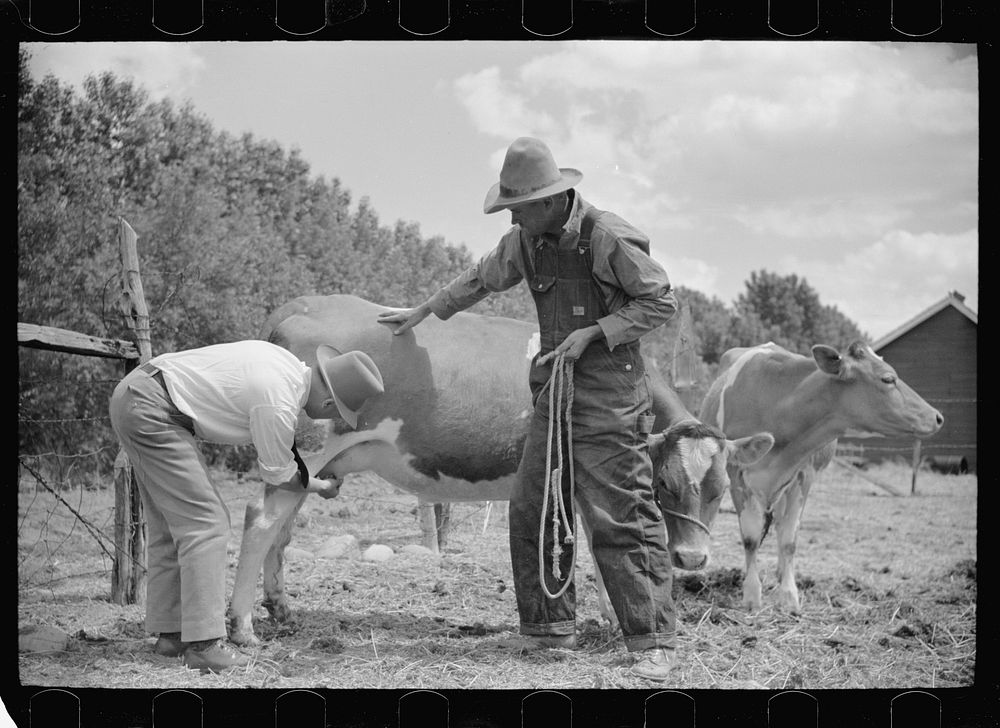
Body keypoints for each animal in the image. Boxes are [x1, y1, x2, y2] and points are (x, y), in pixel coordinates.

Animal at [227, 292, 772, 644]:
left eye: (720, 488)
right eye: (662, 482)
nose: (694, 558)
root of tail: (302, 304)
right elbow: (599, 549)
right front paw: (611, 621)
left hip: (307, 462)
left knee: (282, 528)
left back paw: (281, 609)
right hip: (312, 440)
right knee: (260, 521)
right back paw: (241, 627)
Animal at [700, 342, 940, 616]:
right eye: (888, 378)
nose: (937, 417)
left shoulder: (804, 475)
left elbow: (789, 541)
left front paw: (789, 596)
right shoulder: (737, 474)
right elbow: (750, 539)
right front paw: (752, 595)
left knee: (781, 527)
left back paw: (781, 573)